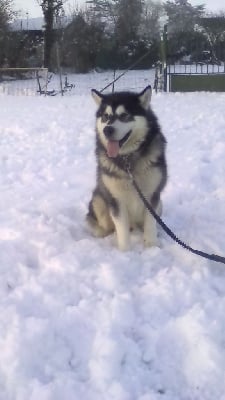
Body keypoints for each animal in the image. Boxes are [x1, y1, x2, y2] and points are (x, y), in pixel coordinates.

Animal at [86, 86, 167, 250]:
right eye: (105, 117)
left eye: (124, 116)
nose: (107, 130)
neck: (128, 160)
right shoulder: (116, 199)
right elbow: (121, 228)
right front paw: (125, 251)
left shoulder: (153, 195)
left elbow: (150, 224)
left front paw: (151, 247)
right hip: (99, 199)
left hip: (160, 204)